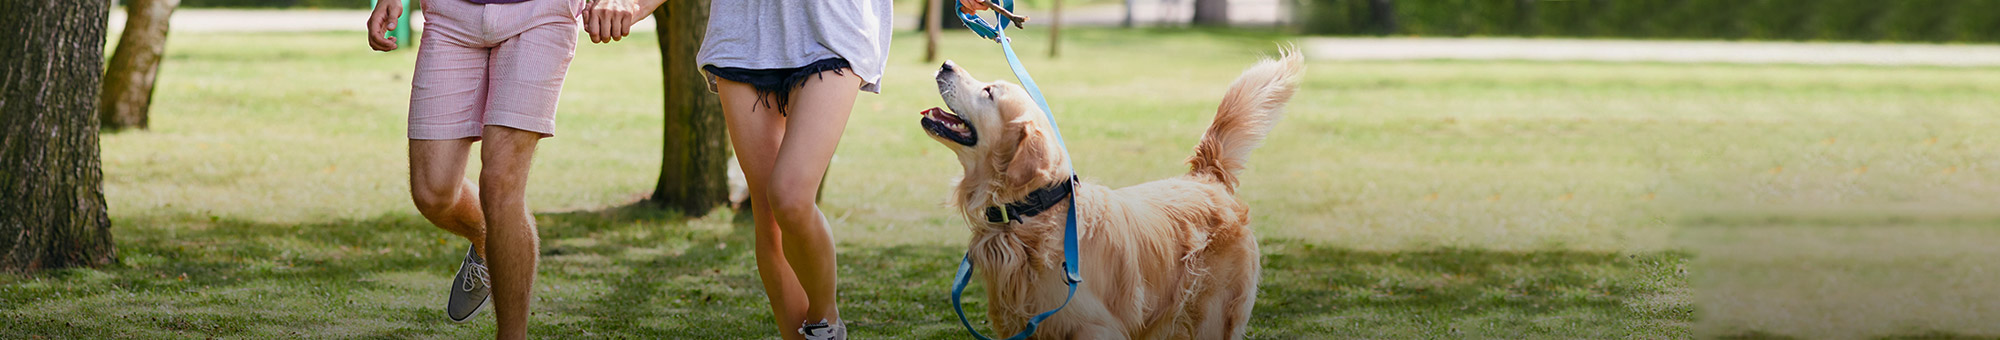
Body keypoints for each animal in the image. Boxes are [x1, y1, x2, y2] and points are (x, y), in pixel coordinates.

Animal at [916, 48, 1304, 340]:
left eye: (989, 92)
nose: (945, 63)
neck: (1033, 212)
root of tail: (1207, 177)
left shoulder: (1095, 328)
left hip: (1211, 317)